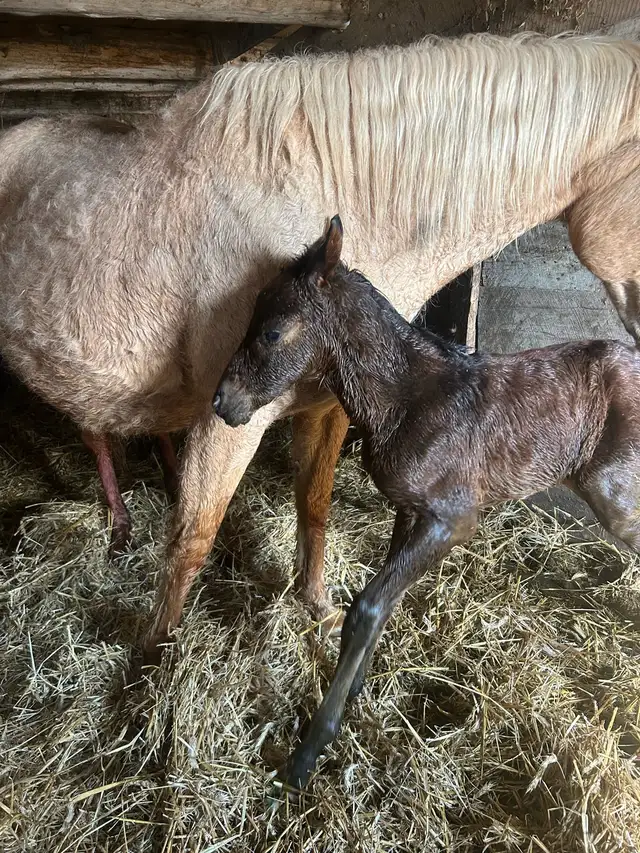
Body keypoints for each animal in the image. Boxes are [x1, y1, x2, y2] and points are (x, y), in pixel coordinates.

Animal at [1, 34, 640, 657]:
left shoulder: (328, 406)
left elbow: (313, 506)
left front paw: (318, 607)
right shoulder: (227, 417)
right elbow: (193, 539)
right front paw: (155, 659)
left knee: (96, 429)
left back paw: (124, 521)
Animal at [215, 215, 640, 789]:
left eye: (273, 331)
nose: (222, 402)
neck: (409, 399)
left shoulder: (452, 520)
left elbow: (368, 607)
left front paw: (310, 750)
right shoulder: (410, 511)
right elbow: (384, 604)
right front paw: (356, 688)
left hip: (616, 494)